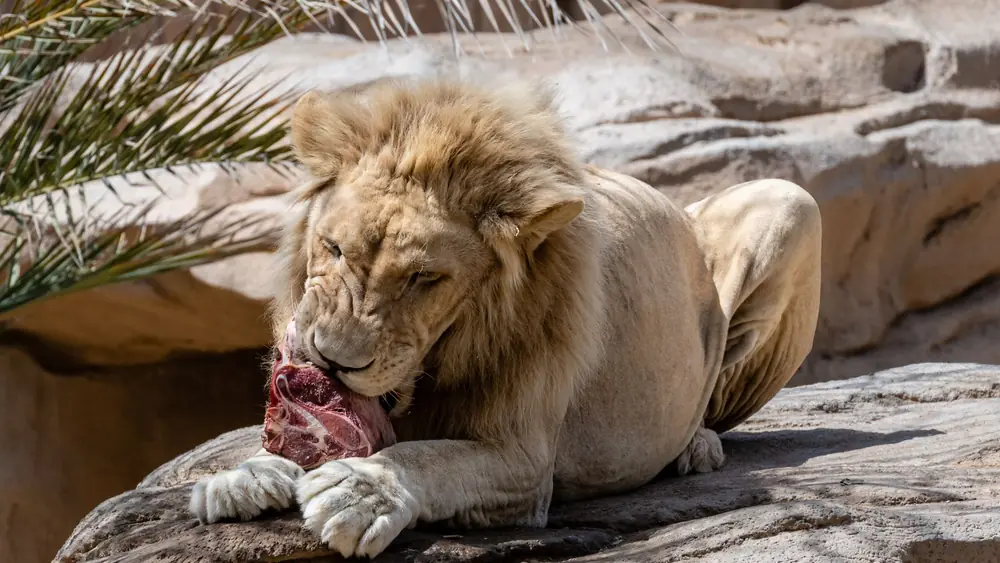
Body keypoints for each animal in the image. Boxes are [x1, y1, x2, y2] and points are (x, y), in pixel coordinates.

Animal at [189, 77, 822, 558]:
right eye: (334, 248)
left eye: (424, 278)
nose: (331, 360)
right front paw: (247, 474)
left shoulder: (525, 461)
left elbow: (433, 458)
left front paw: (361, 491)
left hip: (792, 202)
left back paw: (696, 448)